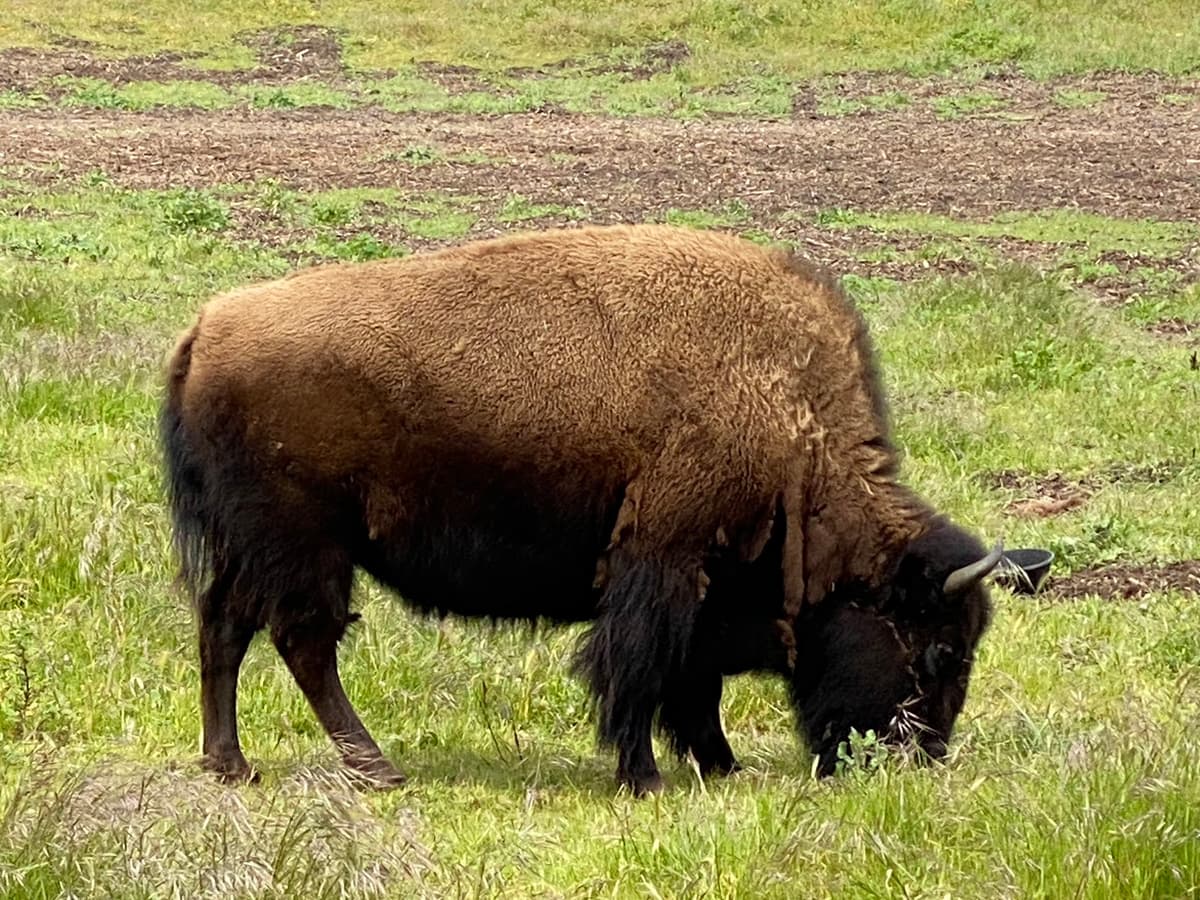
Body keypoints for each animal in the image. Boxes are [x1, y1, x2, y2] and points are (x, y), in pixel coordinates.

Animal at [159, 223, 999, 795]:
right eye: (938, 650)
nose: (919, 757)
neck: (788, 414)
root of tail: (207, 329)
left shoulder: (698, 585)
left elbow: (691, 683)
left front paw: (719, 765)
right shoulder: (662, 559)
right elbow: (641, 671)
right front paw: (646, 776)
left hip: (250, 548)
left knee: (223, 628)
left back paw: (232, 764)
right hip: (305, 546)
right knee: (302, 642)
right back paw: (377, 768)